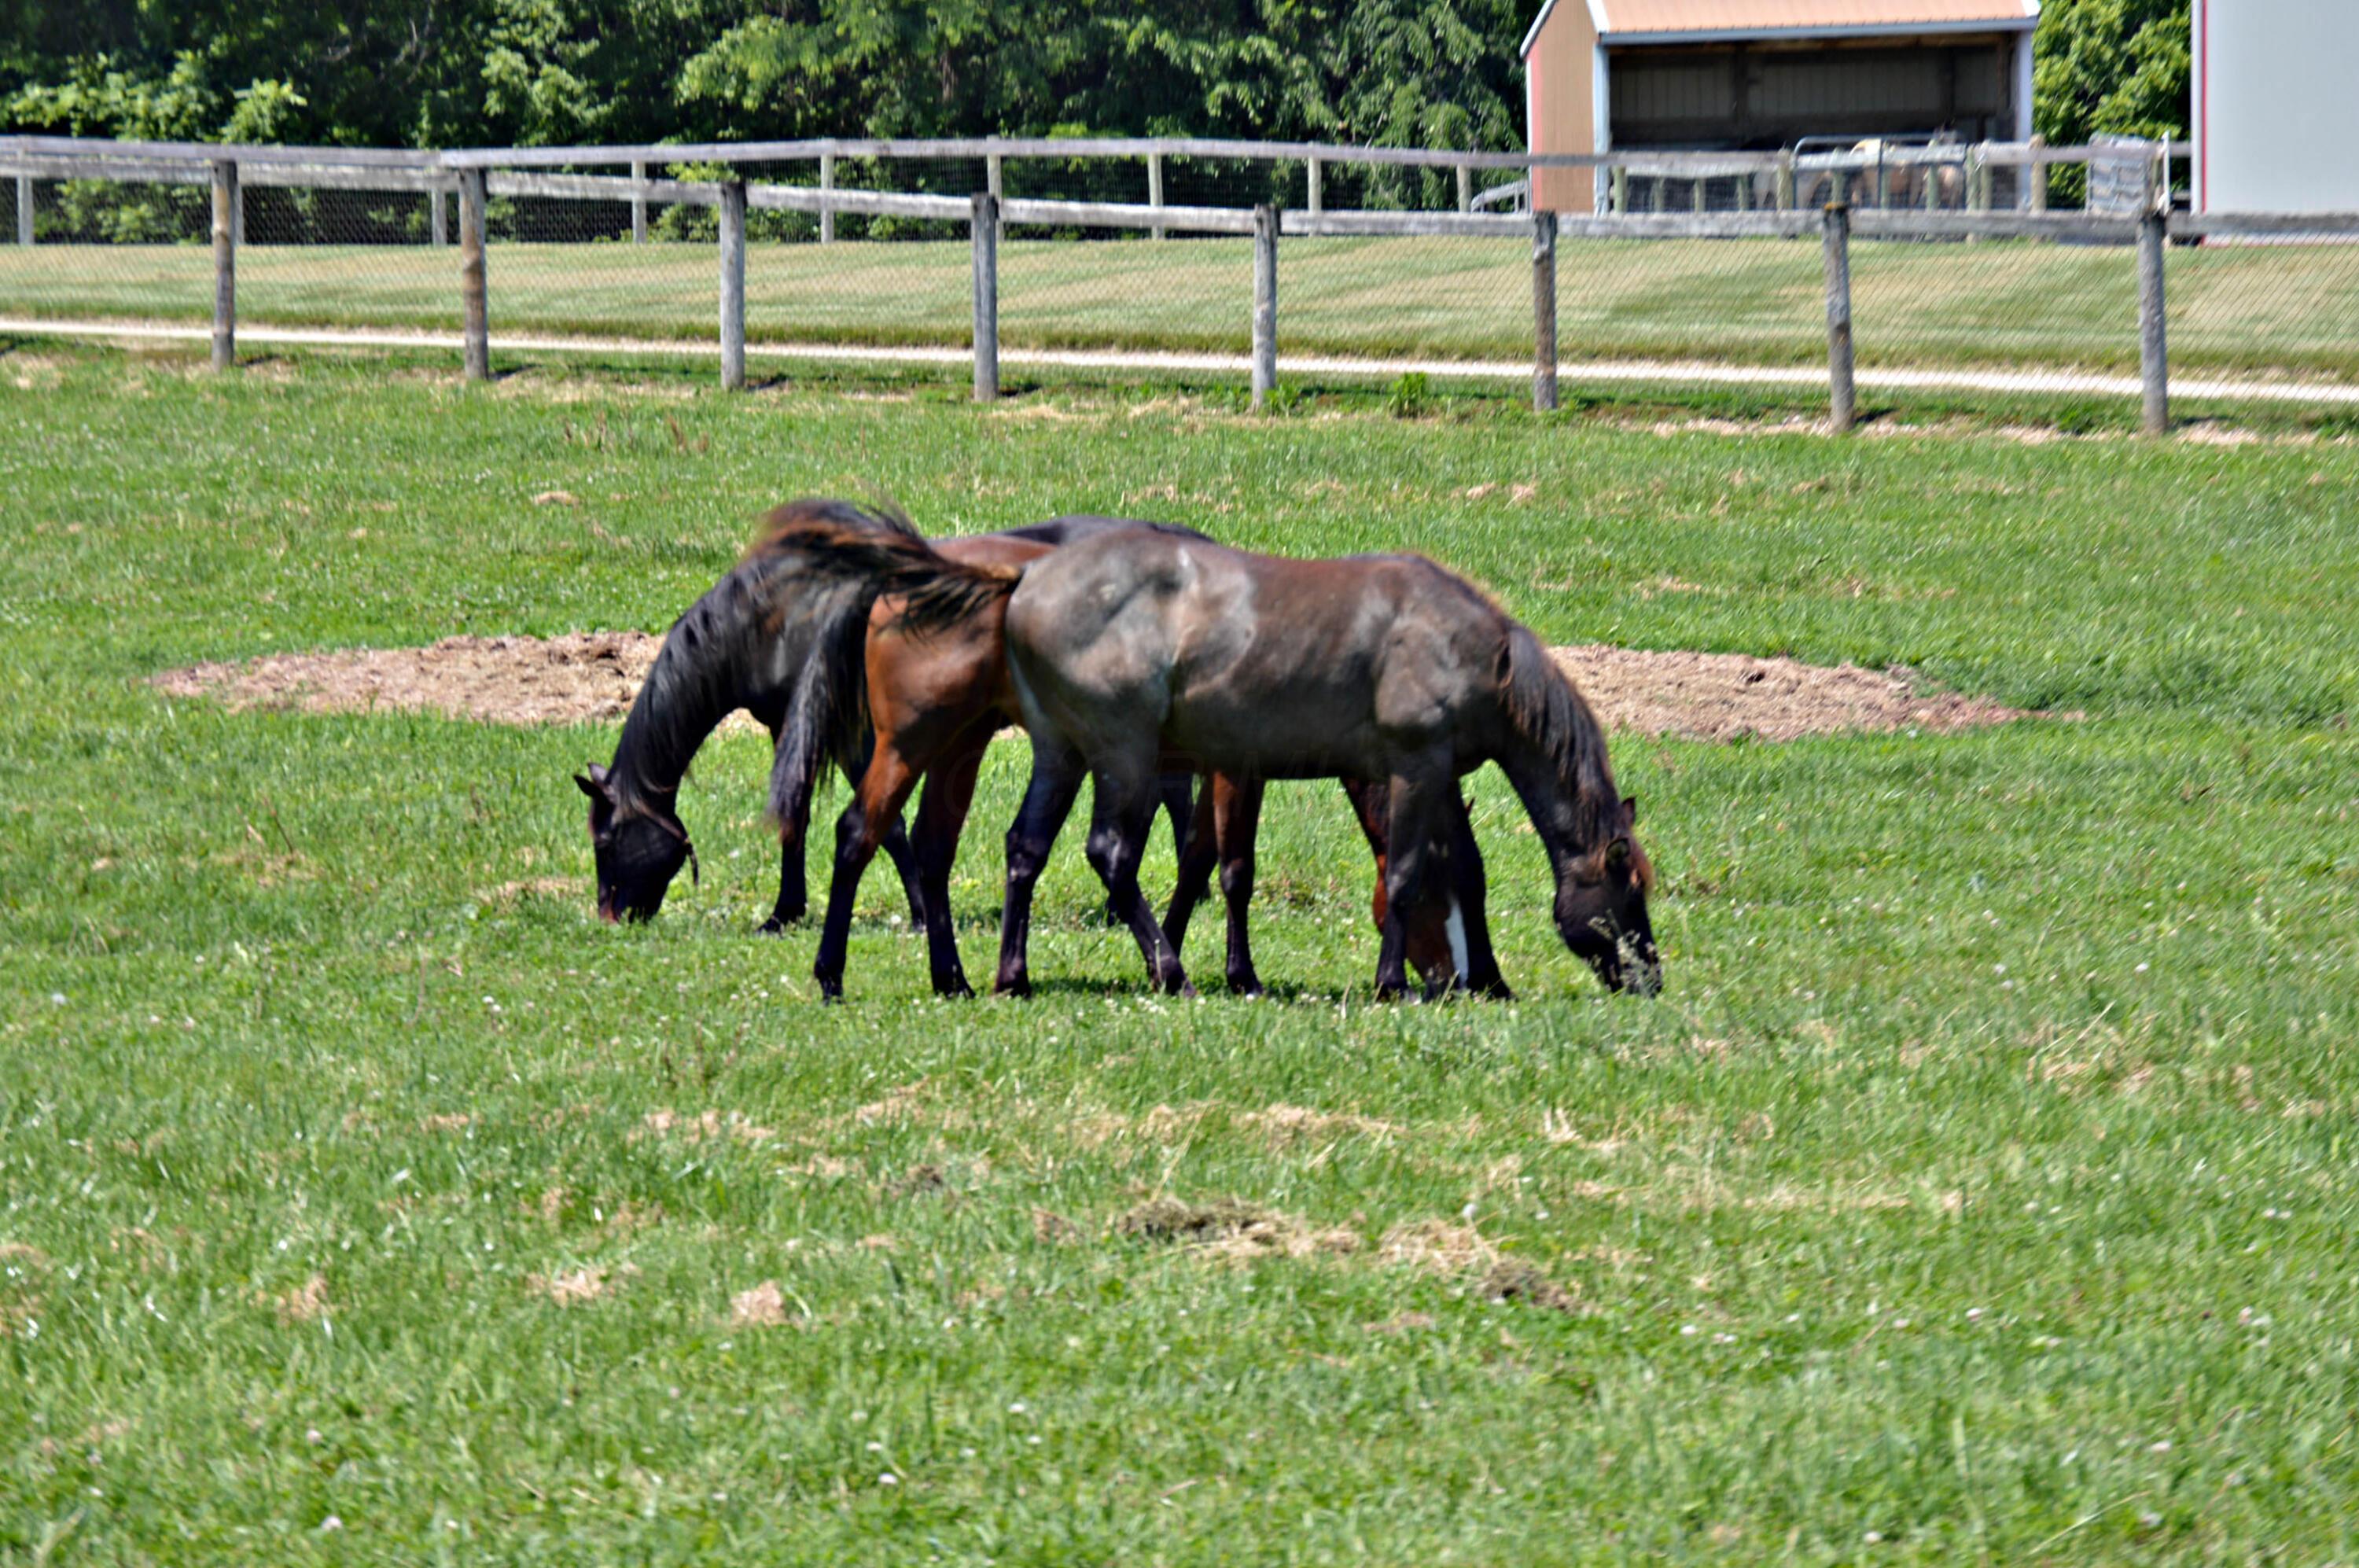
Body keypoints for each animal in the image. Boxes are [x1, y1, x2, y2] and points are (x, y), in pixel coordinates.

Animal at [573, 502, 1191, 928]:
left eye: (606, 841)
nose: (609, 918)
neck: (779, 618)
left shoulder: (856, 737)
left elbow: (885, 825)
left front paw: (918, 913)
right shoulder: (786, 729)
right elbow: (795, 817)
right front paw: (785, 913)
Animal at [781, 520, 1661, 999]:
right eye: (1629, 891)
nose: (1650, 976)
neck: (1462, 645)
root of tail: (1019, 582)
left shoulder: (1425, 773)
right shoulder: (1406, 766)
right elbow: (1385, 871)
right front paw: (1382, 983)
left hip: (1042, 752)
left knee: (1009, 849)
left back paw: (999, 975)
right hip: (1072, 753)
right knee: (1075, 850)